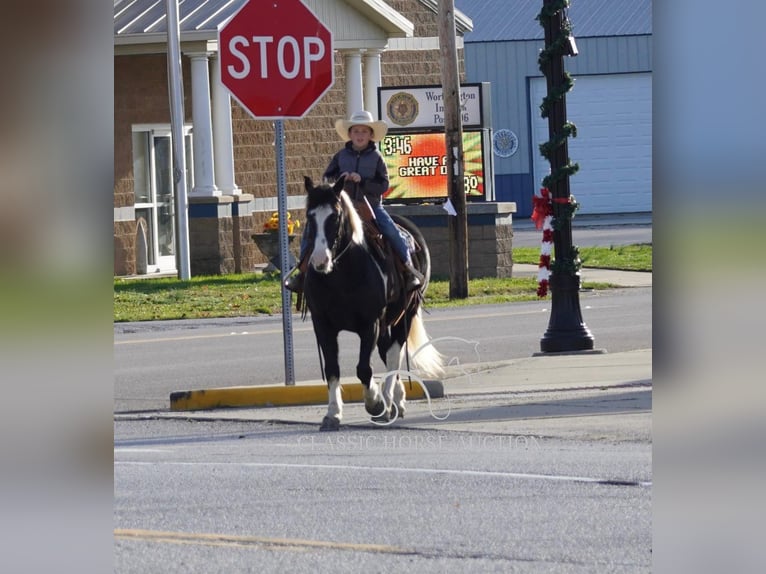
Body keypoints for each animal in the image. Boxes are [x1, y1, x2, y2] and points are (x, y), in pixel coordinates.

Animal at [300, 176, 444, 432]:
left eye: (335, 216)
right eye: (310, 215)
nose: (319, 260)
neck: (341, 276)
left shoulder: (370, 324)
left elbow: (364, 368)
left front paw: (375, 403)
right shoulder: (323, 324)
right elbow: (332, 369)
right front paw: (332, 414)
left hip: (405, 314)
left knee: (395, 353)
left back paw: (388, 403)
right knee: (388, 352)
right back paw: (396, 400)